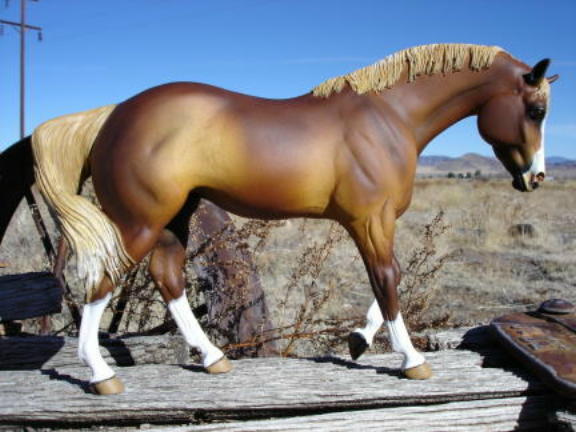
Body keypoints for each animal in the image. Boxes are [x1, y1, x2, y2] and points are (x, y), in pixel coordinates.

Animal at [1, 44, 560, 394]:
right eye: (535, 110)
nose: (536, 178)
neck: (387, 117)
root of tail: (112, 114)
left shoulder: (373, 223)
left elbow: (387, 282)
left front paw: (359, 341)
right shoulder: (371, 220)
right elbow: (387, 279)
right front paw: (412, 361)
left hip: (173, 220)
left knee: (167, 278)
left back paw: (213, 357)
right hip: (138, 223)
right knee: (101, 282)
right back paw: (101, 376)